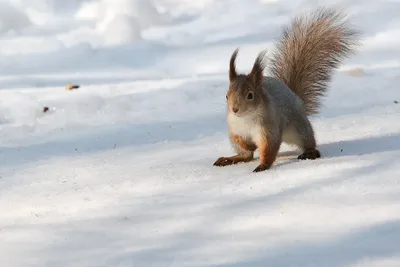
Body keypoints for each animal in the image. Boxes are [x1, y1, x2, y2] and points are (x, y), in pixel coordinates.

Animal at [212, 7, 360, 174]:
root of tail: (296, 96)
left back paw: (309, 153)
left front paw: (263, 166)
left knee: (310, 143)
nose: (234, 109)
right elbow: (243, 143)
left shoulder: (269, 129)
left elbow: (269, 149)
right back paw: (229, 159)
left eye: (250, 95)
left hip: (299, 128)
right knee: (246, 156)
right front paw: (250, 146)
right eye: (226, 96)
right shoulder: (234, 129)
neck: (246, 118)